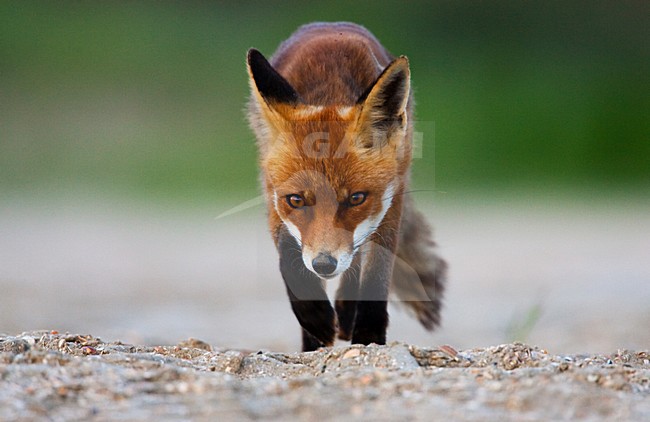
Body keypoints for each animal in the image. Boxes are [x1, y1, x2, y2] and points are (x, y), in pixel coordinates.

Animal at [246, 22, 447, 352]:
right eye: (296, 200)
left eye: (356, 198)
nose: (324, 265)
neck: (331, 85)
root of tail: (330, 26)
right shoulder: (272, 195)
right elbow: (289, 259)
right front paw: (314, 317)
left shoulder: (391, 198)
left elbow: (374, 277)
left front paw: (368, 338)